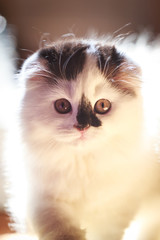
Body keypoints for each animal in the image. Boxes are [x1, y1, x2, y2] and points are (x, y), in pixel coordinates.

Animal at [3, 35, 160, 240]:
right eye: (62, 106)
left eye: (103, 105)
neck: (82, 165)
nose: (83, 127)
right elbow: (61, 229)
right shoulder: (41, 199)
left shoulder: (115, 207)